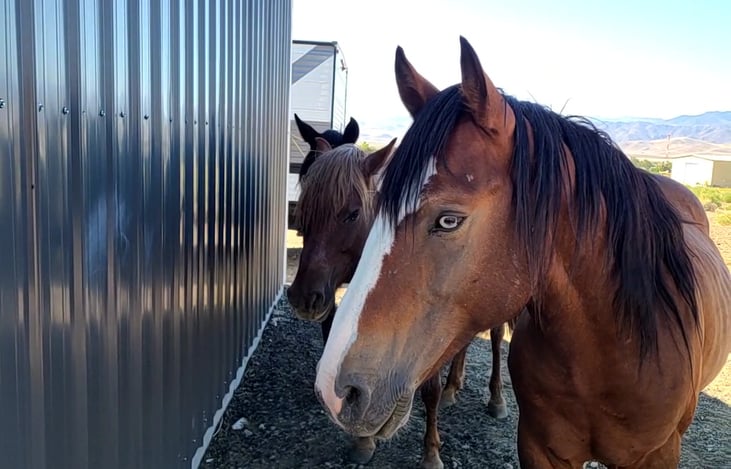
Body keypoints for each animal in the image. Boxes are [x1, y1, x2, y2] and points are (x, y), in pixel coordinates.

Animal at [286, 139, 511, 468]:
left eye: (352, 214)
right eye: (304, 210)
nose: (303, 297)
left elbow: (428, 389)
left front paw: (430, 452)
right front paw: (363, 440)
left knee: (495, 338)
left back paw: (496, 399)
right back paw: (453, 386)